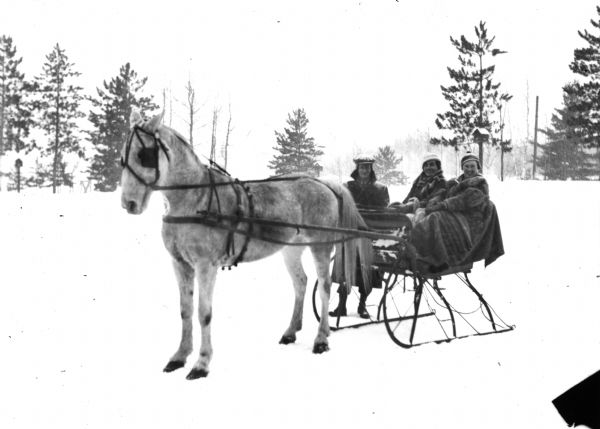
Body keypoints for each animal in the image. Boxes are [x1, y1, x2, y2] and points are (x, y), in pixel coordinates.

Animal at [118, 110, 370, 378]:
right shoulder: (180, 263)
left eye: (144, 155)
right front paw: (179, 356)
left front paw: (202, 363)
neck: (194, 198)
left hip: (321, 245)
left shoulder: (206, 265)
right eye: (122, 158)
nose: (129, 203)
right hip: (291, 248)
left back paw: (321, 338)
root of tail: (324, 183)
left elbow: (204, 313)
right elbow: (185, 310)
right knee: (301, 283)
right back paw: (291, 331)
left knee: (324, 287)